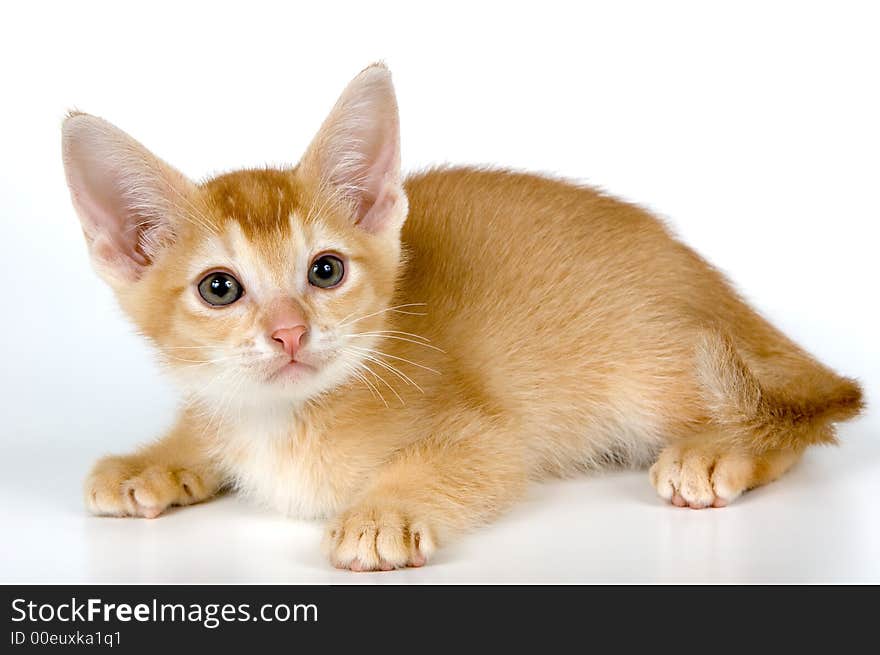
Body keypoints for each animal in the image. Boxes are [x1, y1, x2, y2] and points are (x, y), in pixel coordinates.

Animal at [63, 64, 868, 572]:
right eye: (219, 288)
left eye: (326, 270)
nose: (290, 332)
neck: (281, 419)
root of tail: (714, 286)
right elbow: (202, 428)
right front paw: (154, 459)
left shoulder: (489, 435)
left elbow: (463, 459)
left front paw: (383, 512)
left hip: (656, 367)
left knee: (801, 422)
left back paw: (718, 452)